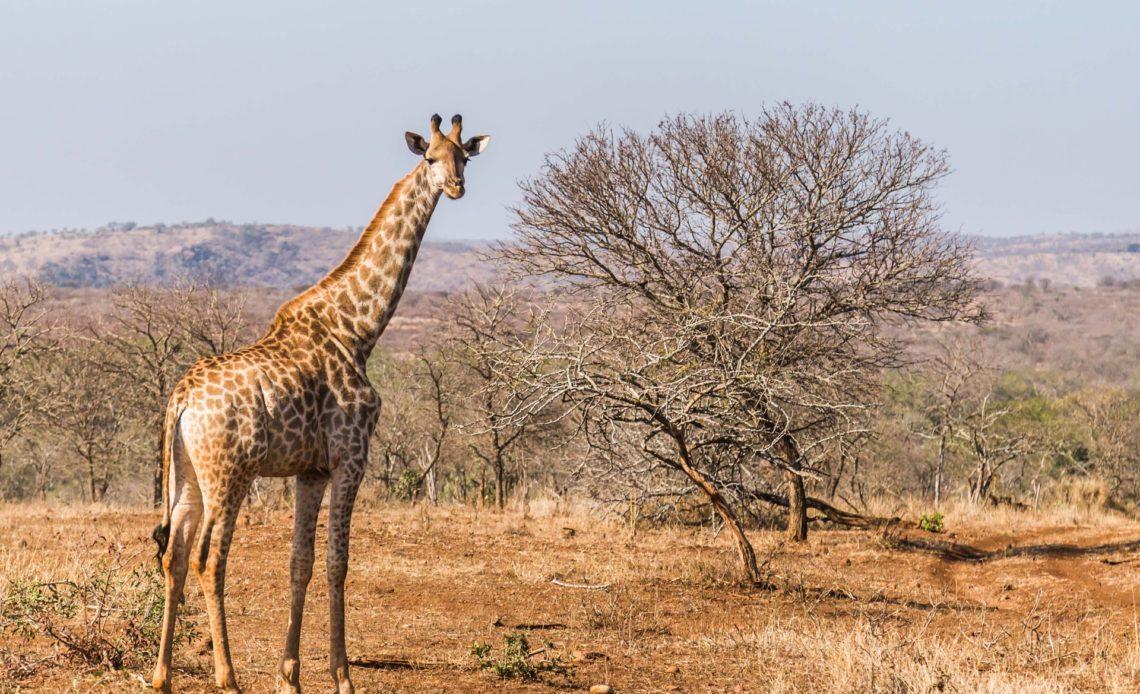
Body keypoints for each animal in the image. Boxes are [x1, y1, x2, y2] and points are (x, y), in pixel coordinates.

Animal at [149, 115, 487, 692]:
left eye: (464, 155)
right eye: (430, 158)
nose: (457, 186)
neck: (359, 330)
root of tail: (181, 398)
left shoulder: (310, 470)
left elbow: (300, 562)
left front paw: (290, 675)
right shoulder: (351, 457)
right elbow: (338, 563)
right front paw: (343, 676)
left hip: (186, 476)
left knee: (173, 556)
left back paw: (161, 675)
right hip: (229, 474)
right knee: (208, 560)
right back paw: (227, 675)